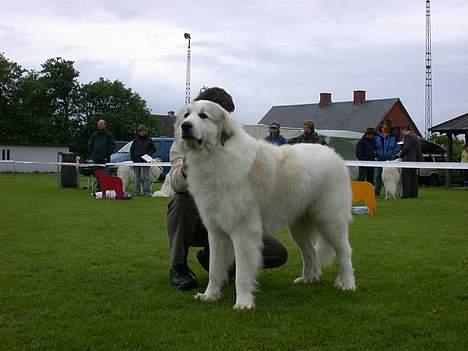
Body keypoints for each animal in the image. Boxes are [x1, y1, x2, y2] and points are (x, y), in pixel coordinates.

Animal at [176, 100, 354, 310]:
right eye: (186, 115)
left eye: (203, 116)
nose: (185, 126)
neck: (216, 155)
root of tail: (334, 155)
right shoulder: (216, 232)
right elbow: (214, 269)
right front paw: (210, 296)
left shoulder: (244, 231)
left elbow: (242, 274)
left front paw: (243, 303)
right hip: (298, 227)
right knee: (309, 252)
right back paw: (308, 279)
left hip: (330, 221)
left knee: (344, 252)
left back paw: (347, 284)